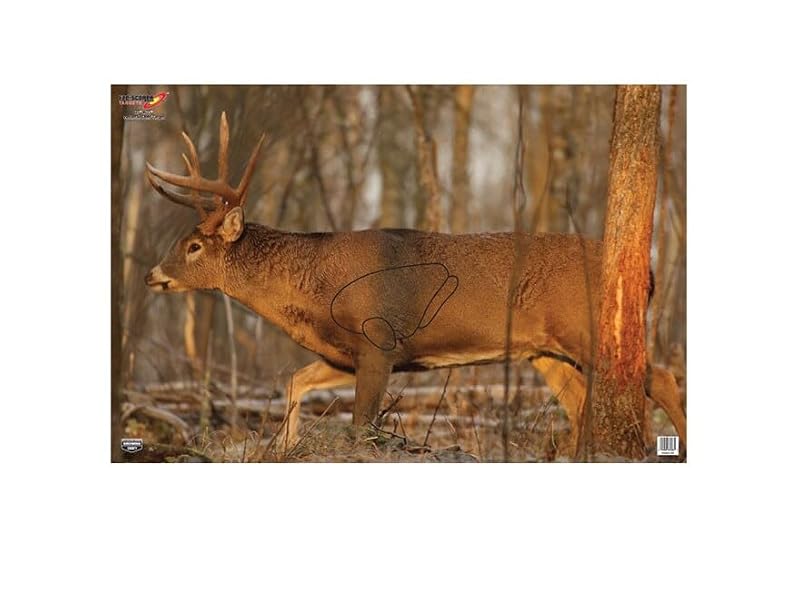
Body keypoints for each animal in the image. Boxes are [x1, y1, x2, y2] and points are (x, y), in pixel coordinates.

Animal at [144, 112, 686, 457]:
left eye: (194, 246)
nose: (152, 275)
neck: (314, 292)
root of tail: (648, 271)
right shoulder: (345, 354)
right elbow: (295, 380)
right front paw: (286, 446)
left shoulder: (379, 343)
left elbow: (362, 428)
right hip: (543, 351)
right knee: (579, 404)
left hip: (586, 329)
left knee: (661, 378)